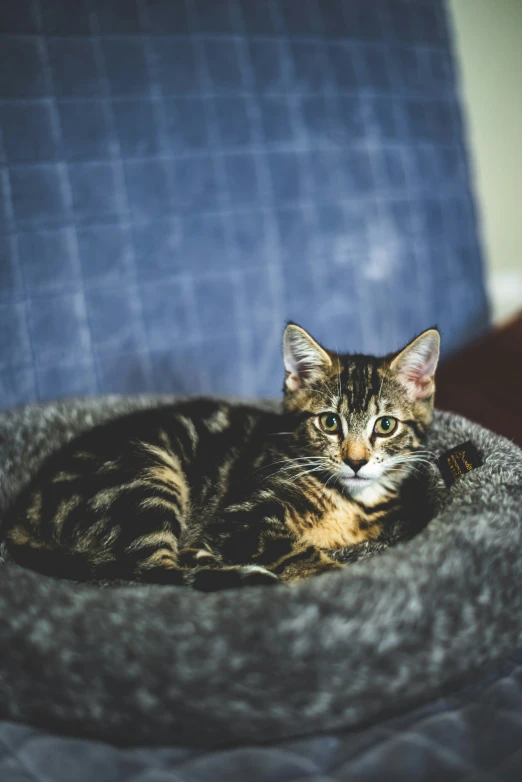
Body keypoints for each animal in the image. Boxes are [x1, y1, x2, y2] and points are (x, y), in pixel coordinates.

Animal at [2, 326, 436, 596]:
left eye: (385, 425)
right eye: (329, 422)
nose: (356, 462)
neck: (350, 500)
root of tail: (25, 505)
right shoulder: (240, 516)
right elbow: (291, 548)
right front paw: (337, 578)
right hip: (144, 474)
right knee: (150, 569)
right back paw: (239, 575)